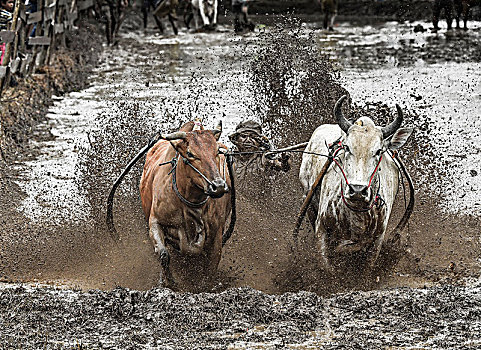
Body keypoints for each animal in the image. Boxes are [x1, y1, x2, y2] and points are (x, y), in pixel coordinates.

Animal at [139, 121, 231, 288]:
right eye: (190, 153)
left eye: (217, 151)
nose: (218, 186)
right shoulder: (155, 222)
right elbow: (164, 254)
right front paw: (168, 281)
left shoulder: (216, 236)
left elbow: (209, 266)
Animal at [298, 95, 410, 274]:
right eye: (347, 147)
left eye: (378, 151)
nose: (357, 190)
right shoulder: (322, 232)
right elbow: (327, 269)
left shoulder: (376, 242)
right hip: (307, 199)